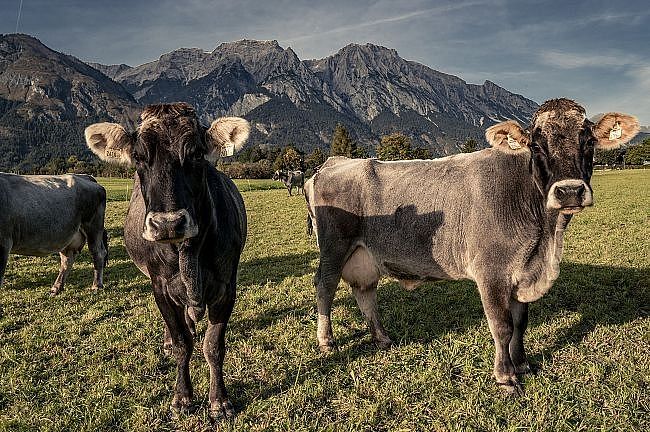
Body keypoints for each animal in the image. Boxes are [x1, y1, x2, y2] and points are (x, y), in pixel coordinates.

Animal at [85, 101, 247, 418]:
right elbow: (183, 344)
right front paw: (182, 397)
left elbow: (213, 346)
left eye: (196, 153)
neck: (188, 254)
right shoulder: (160, 287)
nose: (168, 223)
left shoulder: (227, 288)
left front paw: (219, 400)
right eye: (138, 156)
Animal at [306, 98, 636, 394]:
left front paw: (522, 364)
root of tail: (334, 162)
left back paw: (382, 337)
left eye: (589, 141)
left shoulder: (521, 271)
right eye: (536, 145)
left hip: (365, 254)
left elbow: (521, 323)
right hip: (334, 247)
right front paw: (506, 377)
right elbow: (502, 326)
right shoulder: (492, 272)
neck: (544, 241)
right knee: (325, 286)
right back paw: (326, 341)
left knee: (364, 291)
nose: (569, 191)